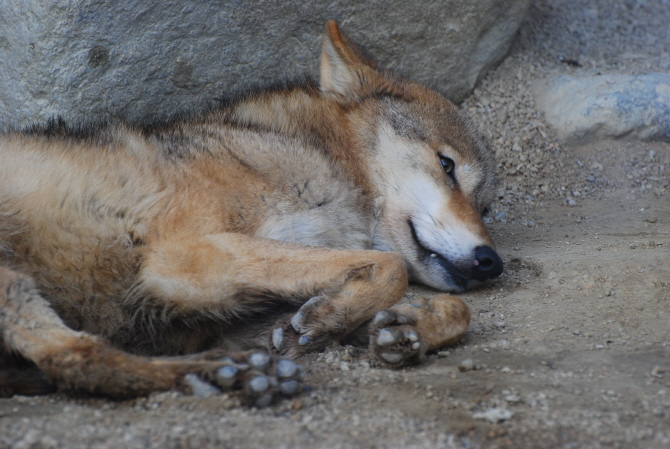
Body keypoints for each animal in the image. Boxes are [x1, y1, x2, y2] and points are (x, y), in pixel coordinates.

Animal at [0, 21, 504, 402]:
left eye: (485, 206)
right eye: (447, 166)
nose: (491, 262)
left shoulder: (229, 313)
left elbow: (456, 307)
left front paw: (406, 330)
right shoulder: (183, 259)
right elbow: (393, 265)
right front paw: (335, 318)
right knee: (74, 359)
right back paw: (229, 374)